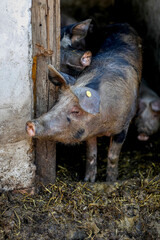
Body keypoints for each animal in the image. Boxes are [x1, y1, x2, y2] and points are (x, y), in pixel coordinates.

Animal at [26, 23, 142, 182]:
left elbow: (112, 156)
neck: (103, 123)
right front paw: (88, 180)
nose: (30, 124)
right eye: (58, 101)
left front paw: (111, 181)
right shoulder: (89, 131)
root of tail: (121, 24)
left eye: (76, 110)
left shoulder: (123, 127)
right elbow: (91, 154)